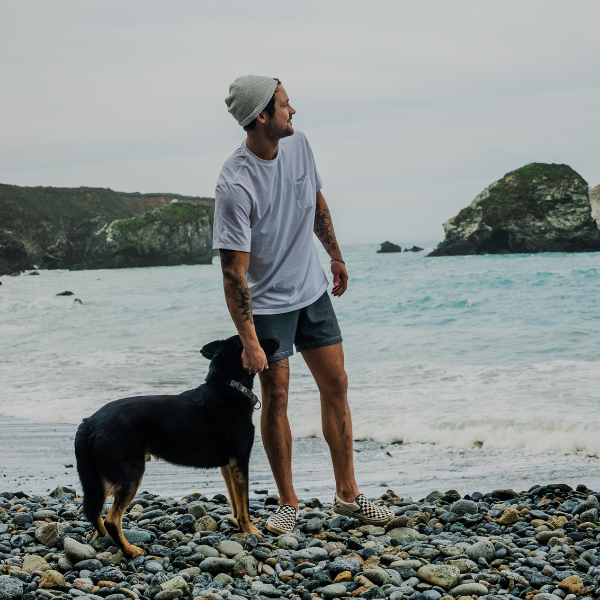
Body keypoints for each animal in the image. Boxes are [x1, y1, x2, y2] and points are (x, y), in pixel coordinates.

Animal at [74, 338, 278, 556]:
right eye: (255, 340)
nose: (277, 340)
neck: (229, 385)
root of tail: (88, 423)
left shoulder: (228, 466)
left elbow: (236, 503)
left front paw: (240, 527)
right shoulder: (240, 461)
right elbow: (245, 503)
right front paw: (250, 531)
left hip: (100, 479)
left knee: (94, 512)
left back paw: (103, 539)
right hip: (130, 475)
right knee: (111, 519)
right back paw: (130, 550)